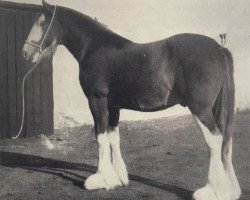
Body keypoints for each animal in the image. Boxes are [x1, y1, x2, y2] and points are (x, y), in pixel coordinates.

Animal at [22, 0, 241, 199]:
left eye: (42, 22)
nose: (25, 52)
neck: (95, 47)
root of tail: (219, 49)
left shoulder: (97, 101)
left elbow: (100, 137)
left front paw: (101, 179)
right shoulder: (113, 106)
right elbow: (113, 137)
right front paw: (118, 178)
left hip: (200, 109)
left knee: (214, 139)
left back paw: (212, 190)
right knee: (224, 140)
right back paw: (229, 190)